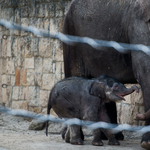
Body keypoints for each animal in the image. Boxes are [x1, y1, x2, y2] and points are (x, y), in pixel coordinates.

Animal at [62, 0, 150, 148]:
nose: (137, 115)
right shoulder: (137, 24)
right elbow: (144, 72)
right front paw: (147, 143)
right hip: (72, 37)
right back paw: (76, 139)